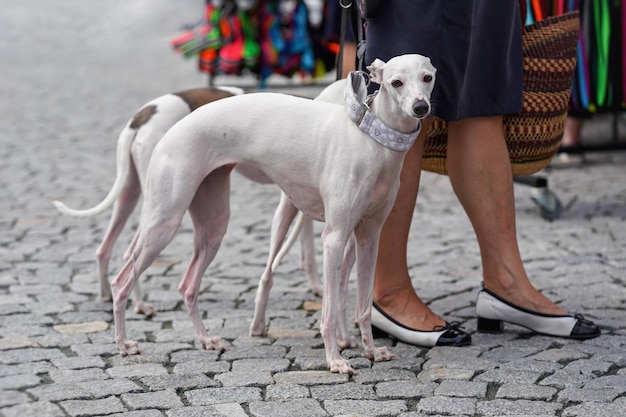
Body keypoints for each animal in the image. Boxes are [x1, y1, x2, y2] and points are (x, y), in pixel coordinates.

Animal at [111, 55, 434, 374]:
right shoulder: (335, 237)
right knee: (122, 279)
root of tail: (164, 129)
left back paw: (206, 339)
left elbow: (364, 305)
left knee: (188, 285)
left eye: (428, 77)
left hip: (213, 225)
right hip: (164, 221)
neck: (369, 140)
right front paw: (335, 360)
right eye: (396, 82)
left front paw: (372, 351)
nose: (421, 108)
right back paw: (124, 343)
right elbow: (329, 310)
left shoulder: (369, 236)